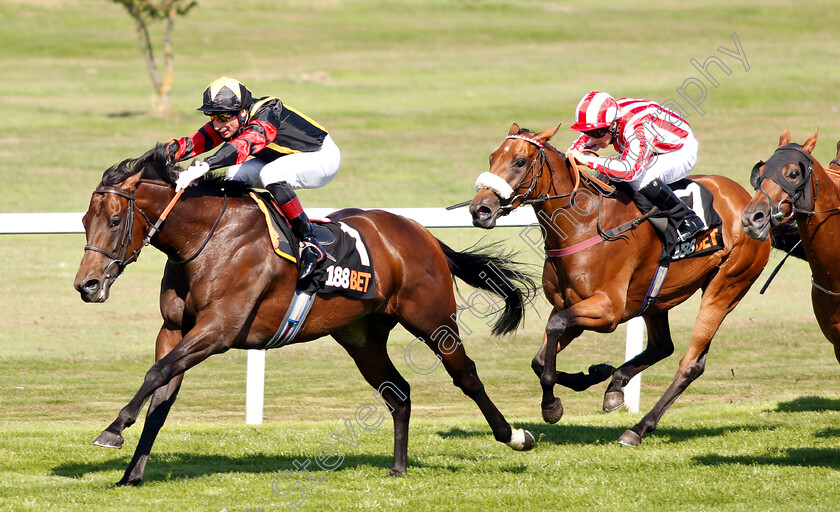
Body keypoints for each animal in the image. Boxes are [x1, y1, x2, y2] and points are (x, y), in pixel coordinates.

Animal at [72, 146, 540, 486]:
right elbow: (161, 395)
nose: (87, 285)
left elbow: (156, 376)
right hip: (361, 337)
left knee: (466, 375)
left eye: (115, 219)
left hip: (432, 319)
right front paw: (131, 475)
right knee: (399, 392)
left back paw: (515, 436)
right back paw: (398, 467)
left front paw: (113, 430)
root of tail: (421, 232)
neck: (208, 238)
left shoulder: (218, 330)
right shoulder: (174, 330)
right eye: (83, 220)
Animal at [470, 123, 772, 444]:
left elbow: (553, 332)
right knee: (662, 346)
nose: (480, 209)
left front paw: (551, 406)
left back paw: (637, 428)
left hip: (726, 286)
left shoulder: (608, 311)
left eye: (519, 162)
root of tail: (747, 200)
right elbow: (540, 359)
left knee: (691, 364)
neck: (582, 224)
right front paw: (595, 374)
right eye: (492, 157)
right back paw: (616, 384)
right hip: (657, 298)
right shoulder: (569, 305)